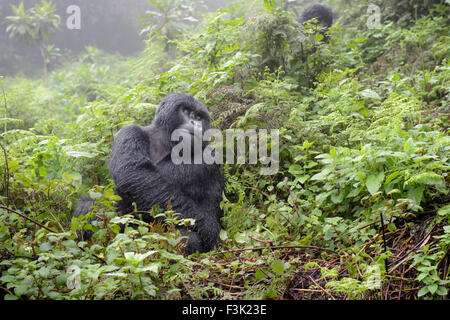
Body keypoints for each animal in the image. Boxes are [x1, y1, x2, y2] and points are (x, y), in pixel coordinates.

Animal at [75, 93, 227, 255]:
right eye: (186, 111)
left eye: (199, 117)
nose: (195, 123)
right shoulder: (130, 132)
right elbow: (133, 173)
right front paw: (206, 224)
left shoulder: (212, 164)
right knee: (90, 206)